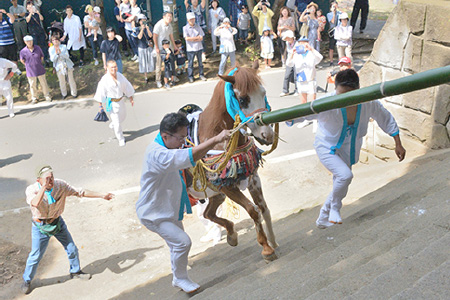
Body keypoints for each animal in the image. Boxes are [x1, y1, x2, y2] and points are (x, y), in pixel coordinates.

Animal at [185, 62, 278, 262]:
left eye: (263, 93)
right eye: (242, 100)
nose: (267, 135)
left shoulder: (252, 178)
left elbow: (263, 208)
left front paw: (273, 242)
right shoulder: (226, 186)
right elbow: (252, 210)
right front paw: (266, 248)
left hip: (215, 195)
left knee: (208, 213)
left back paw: (231, 235)